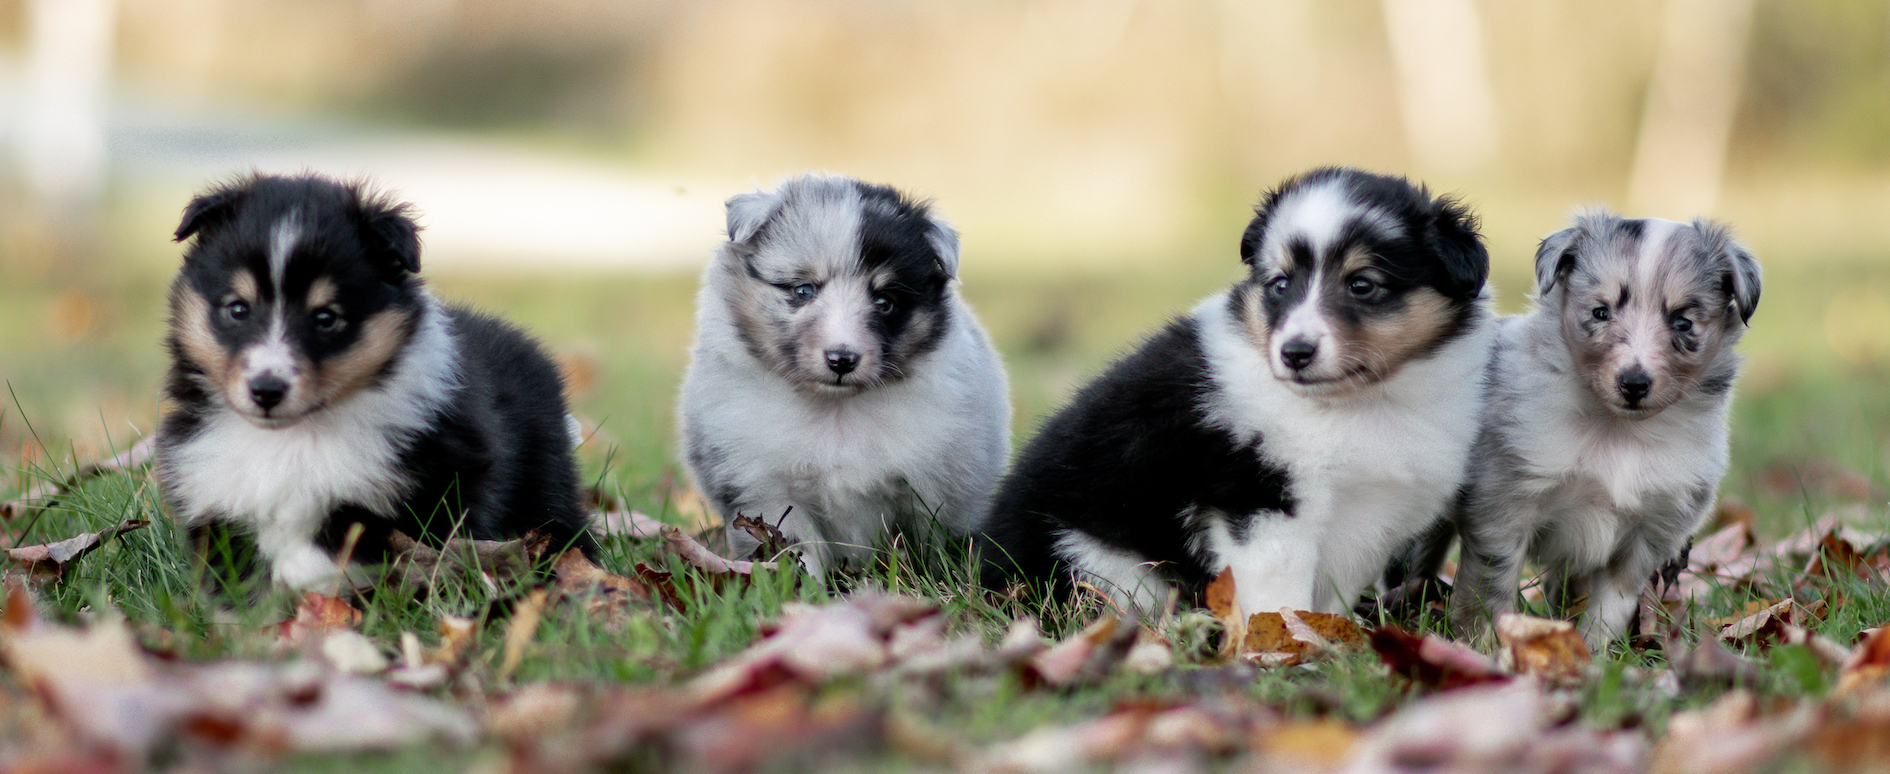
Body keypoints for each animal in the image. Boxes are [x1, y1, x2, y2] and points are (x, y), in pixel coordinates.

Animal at [159, 172, 593, 588]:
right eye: (237, 309)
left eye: (326, 317)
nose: (266, 391)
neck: (293, 436)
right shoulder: (212, 492)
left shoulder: (438, 481)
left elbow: (338, 543)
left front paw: (299, 580)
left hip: (545, 486)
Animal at [676, 172, 1013, 577]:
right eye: (803, 290)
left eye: (884, 302)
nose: (841, 359)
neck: (835, 410)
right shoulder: (766, 488)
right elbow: (796, 548)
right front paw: (804, 586)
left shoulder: (933, 490)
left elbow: (928, 546)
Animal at [982, 166, 1496, 615]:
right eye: (1280, 284)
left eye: (1362, 284)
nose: (1294, 353)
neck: (1360, 403)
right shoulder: (1263, 504)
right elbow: (1280, 599)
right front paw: (1290, 648)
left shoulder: (1372, 521)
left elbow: (1333, 598)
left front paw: (1337, 638)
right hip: (1102, 563)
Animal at [1436, 208, 1761, 645]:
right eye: (1601, 312)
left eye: (1682, 322)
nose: (1634, 384)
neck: (1619, 430)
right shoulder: (1504, 505)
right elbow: (1492, 586)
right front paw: (1489, 646)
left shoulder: (1649, 533)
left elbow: (1611, 604)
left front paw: (1595, 651)